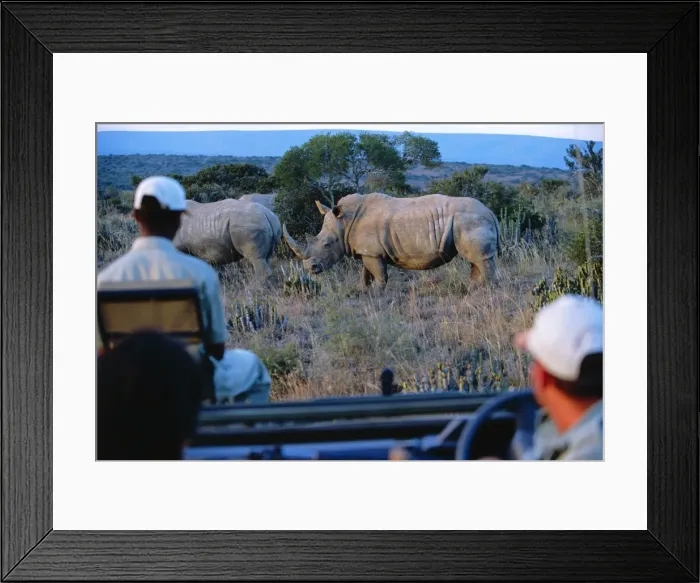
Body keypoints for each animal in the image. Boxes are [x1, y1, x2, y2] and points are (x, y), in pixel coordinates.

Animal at [282, 192, 501, 288]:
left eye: (327, 244)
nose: (311, 269)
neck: (344, 223)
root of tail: (491, 212)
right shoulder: (367, 251)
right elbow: (366, 274)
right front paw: (364, 290)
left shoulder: (373, 252)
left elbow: (380, 276)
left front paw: (379, 293)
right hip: (468, 221)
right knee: (476, 260)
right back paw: (474, 288)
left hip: (470, 220)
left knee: (480, 259)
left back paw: (487, 290)